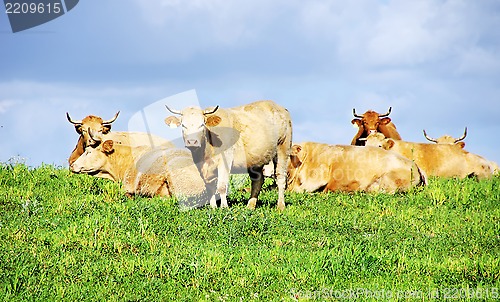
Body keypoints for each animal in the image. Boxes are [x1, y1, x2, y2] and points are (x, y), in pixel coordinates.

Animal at [164, 99, 292, 210]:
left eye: (202, 125)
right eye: (183, 125)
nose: (192, 142)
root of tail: (278, 107)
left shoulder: (225, 159)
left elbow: (221, 186)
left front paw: (224, 207)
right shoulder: (202, 166)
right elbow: (209, 187)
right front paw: (213, 207)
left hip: (283, 147)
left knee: (280, 177)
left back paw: (280, 206)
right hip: (256, 158)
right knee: (257, 180)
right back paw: (250, 206)